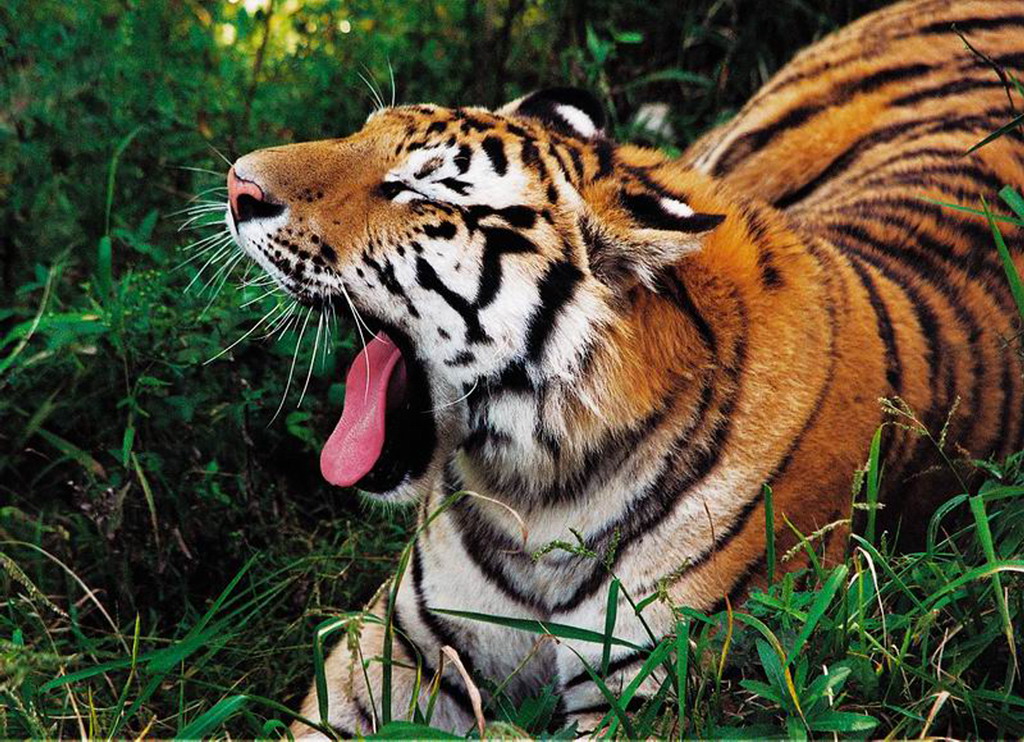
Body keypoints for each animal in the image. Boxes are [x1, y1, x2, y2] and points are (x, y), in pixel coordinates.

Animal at [221, 0, 1024, 736]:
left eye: (417, 190)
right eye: (361, 133)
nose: (236, 184)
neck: (532, 495)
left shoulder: (654, 691)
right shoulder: (401, 646)